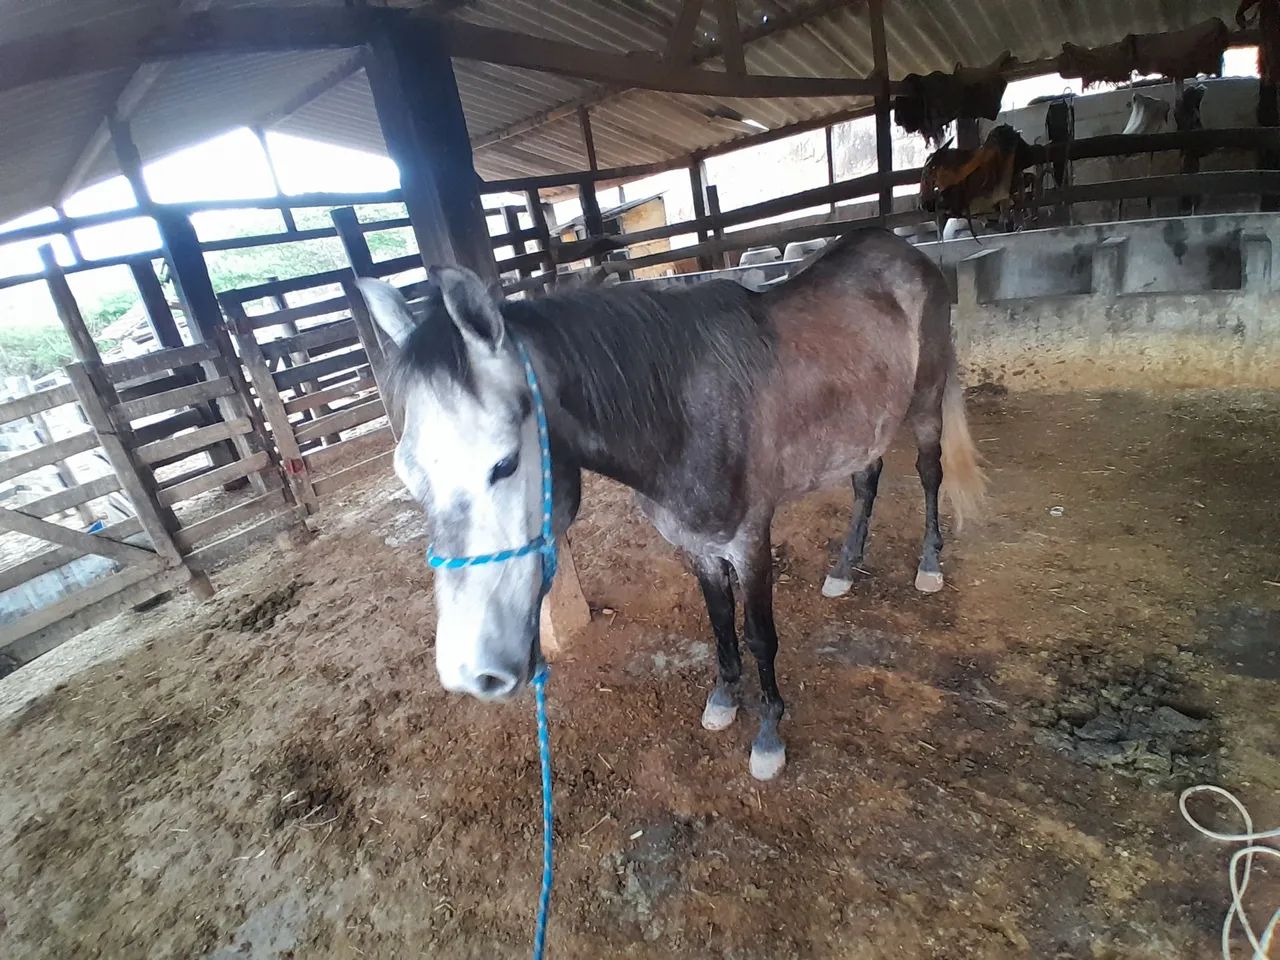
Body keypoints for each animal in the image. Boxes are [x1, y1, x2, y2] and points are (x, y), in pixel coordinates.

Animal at [356, 228, 986, 780]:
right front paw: (724, 700)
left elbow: (760, 635)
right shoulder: (698, 547)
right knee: (866, 480)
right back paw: (844, 568)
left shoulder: (750, 542)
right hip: (864, 425)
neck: (682, 414)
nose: (470, 672)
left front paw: (768, 736)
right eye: (406, 474)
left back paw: (929, 564)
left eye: (505, 463)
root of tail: (906, 251)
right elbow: (720, 623)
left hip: (925, 401)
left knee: (929, 474)